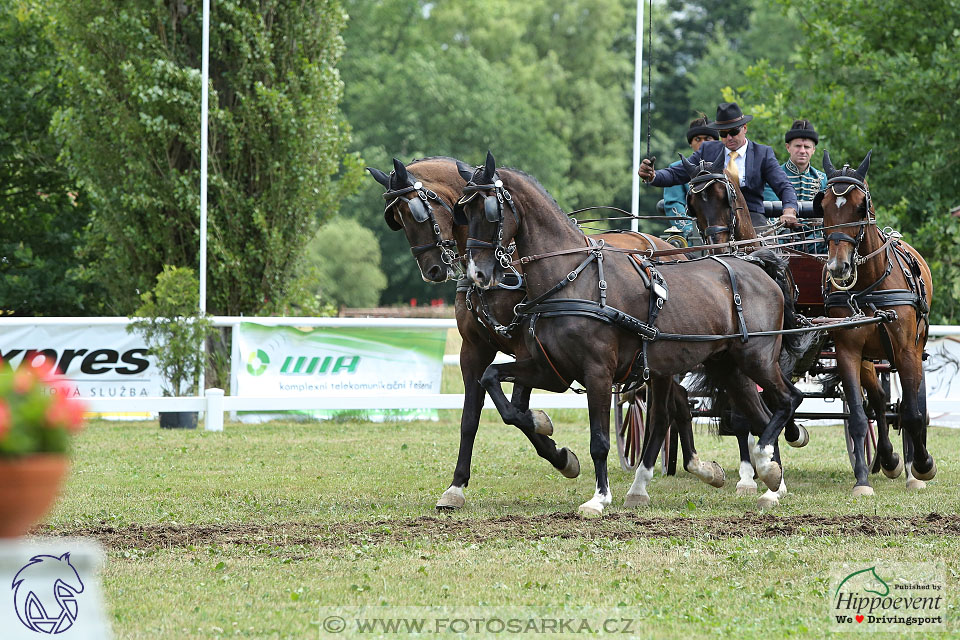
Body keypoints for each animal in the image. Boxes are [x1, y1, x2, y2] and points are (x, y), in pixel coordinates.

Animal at [364, 155, 724, 510]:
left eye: (417, 211)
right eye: (396, 218)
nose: (434, 269)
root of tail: (669, 246)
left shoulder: (530, 349)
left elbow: (516, 411)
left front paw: (556, 448)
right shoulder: (474, 350)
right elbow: (471, 419)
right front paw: (456, 487)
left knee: (669, 407)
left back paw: (693, 470)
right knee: (677, 403)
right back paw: (695, 468)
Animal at [458, 151, 808, 516]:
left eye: (489, 210)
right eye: (463, 211)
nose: (477, 273)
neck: (571, 278)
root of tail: (755, 263)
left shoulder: (597, 372)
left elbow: (599, 441)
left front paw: (598, 498)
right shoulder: (550, 370)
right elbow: (494, 383)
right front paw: (547, 434)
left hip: (756, 358)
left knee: (788, 400)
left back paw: (766, 467)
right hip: (727, 366)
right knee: (758, 415)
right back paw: (770, 483)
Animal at [812, 150, 932, 496]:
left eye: (859, 206)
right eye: (824, 206)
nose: (838, 268)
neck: (870, 286)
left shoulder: (906, 351)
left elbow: (913, 413)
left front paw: (922, 466)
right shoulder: (848, 352)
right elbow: (857, 416)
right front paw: (862, 481)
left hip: (912, 351)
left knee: (907, 405)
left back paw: (910, 463)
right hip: (869, 359)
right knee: (877, 403)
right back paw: (887, 459)